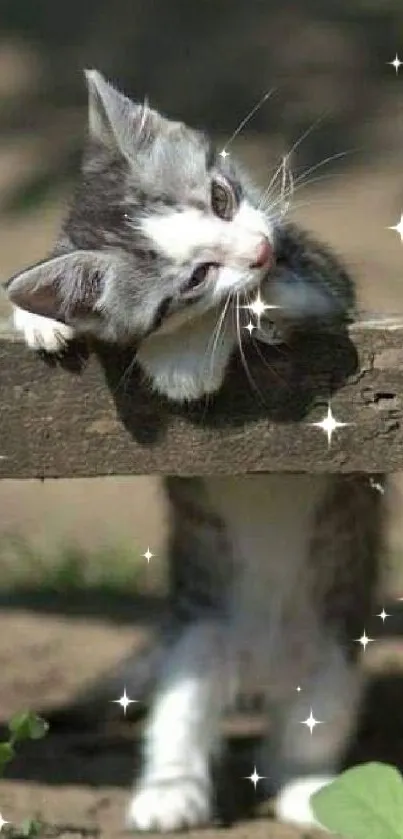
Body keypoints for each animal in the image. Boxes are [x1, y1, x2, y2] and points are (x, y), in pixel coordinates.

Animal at [5, 70, 386, 832]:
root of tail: (259, 670)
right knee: (181, 719)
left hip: (332, 652)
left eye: (221, 197)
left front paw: (184, 357)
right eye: (193, 278)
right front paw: (37, 317)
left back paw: (306, 790)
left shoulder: (323, 279)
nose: (258, 251)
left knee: (308, 729)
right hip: (194, 645)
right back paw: (168, 792)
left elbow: (291, 294)